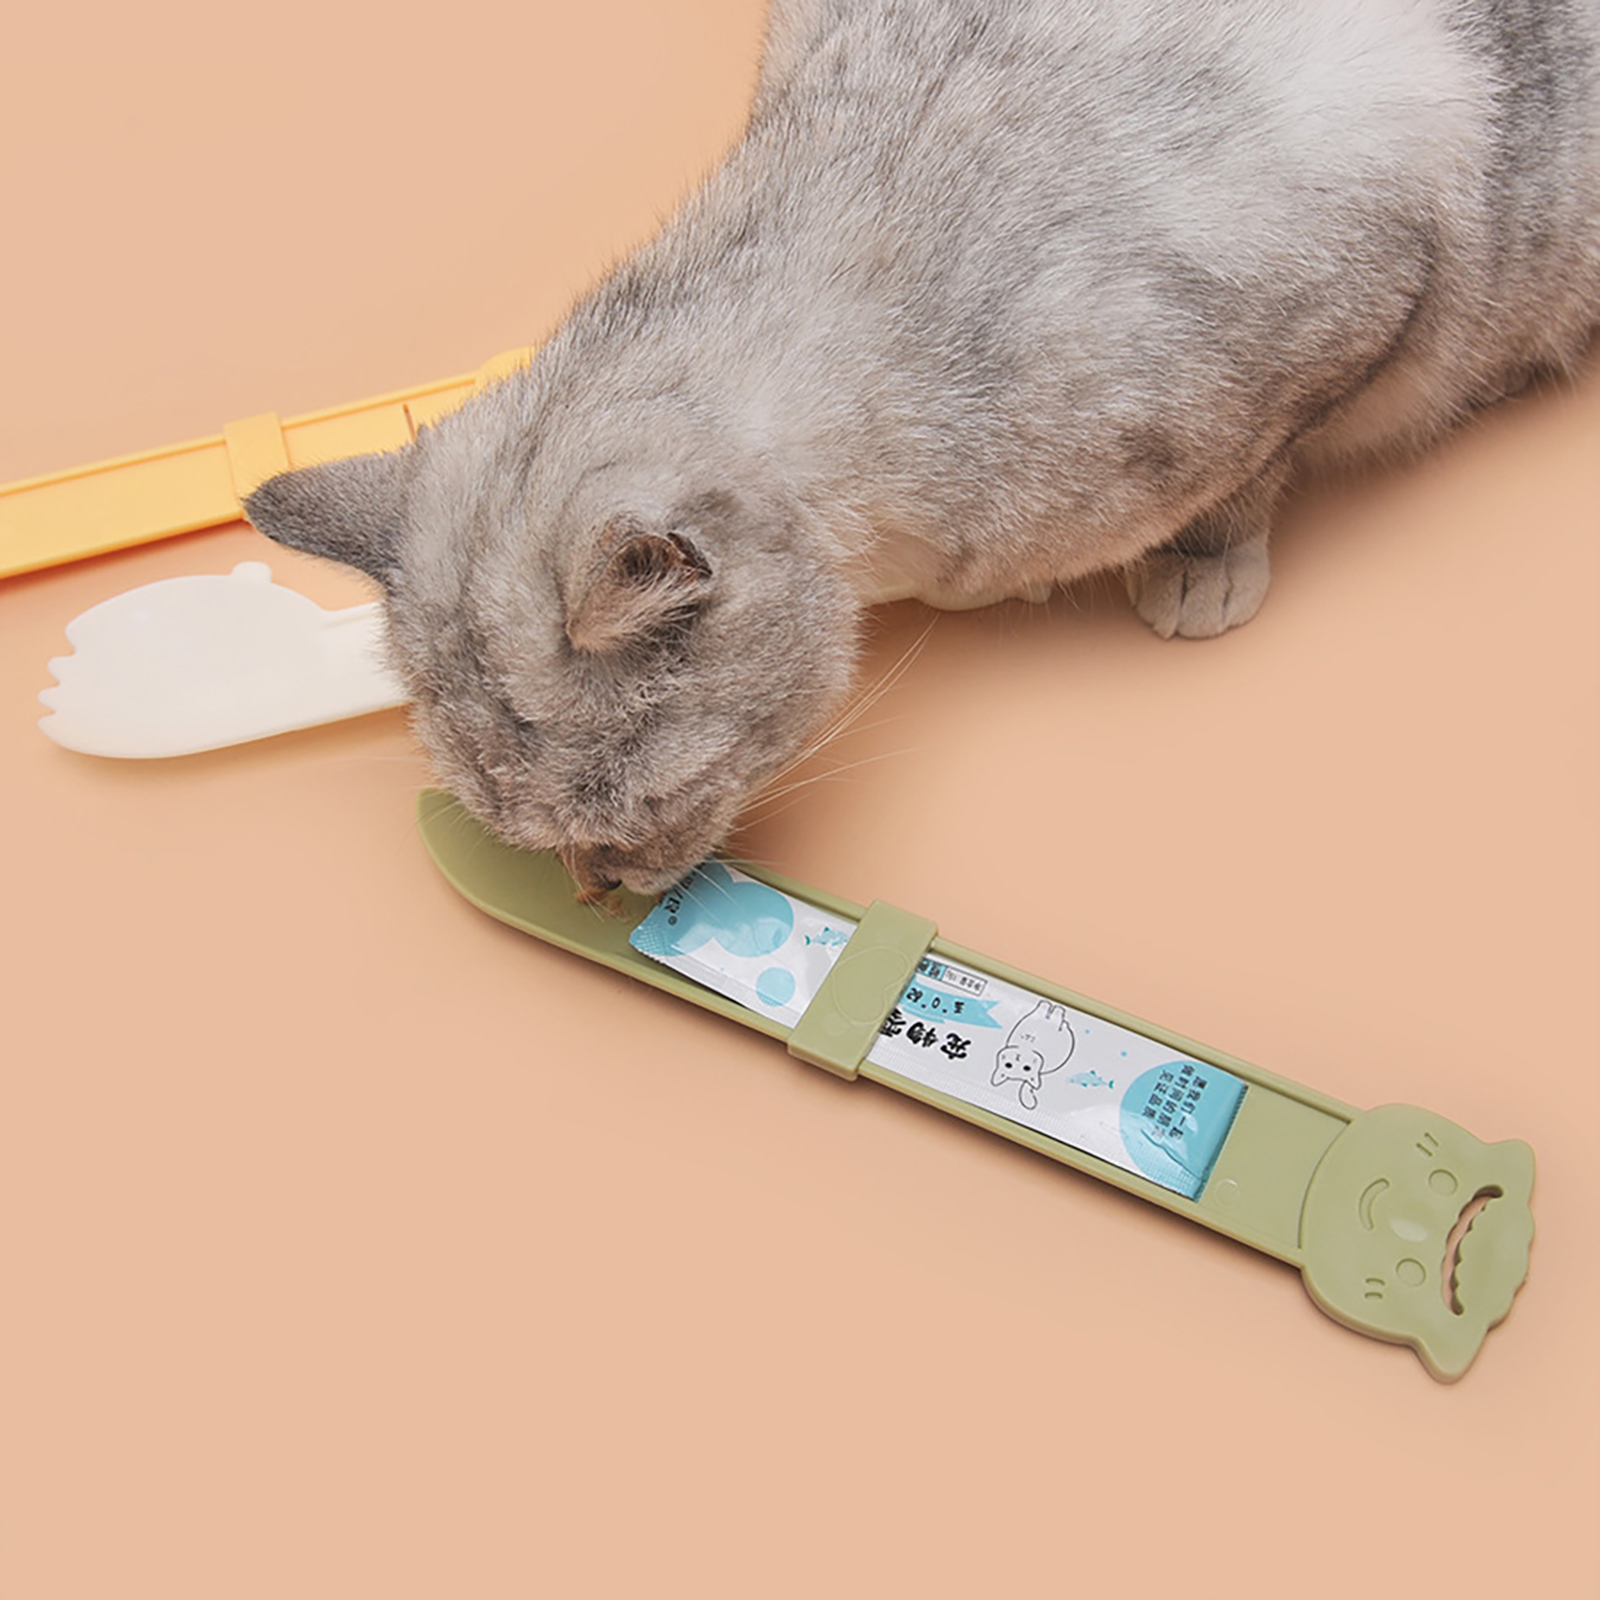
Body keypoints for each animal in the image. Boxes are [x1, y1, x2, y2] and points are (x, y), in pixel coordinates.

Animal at [245, 0, 1600, 899]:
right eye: (534, 838)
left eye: (634, 812)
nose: (597, 886)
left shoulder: (1357, 299)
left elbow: (1253, 472)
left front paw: (1195, 566)